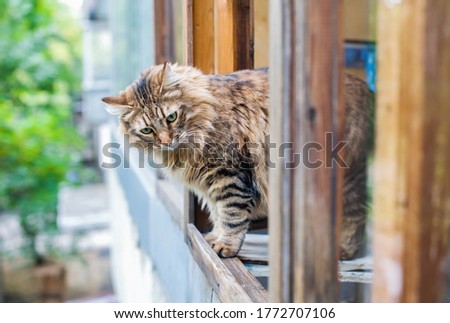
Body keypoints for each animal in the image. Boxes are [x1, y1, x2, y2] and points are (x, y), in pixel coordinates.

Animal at [103, 62, 370, 260]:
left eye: (171, 117)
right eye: (147, 130)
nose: (167, 140)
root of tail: (366, 87)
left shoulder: (229, 176)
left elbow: (231, 216)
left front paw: (226, 246)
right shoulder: (209, 184)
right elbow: (218, 214)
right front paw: (214, 237)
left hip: (346, 178)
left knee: (355, 215)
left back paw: (344, 251)